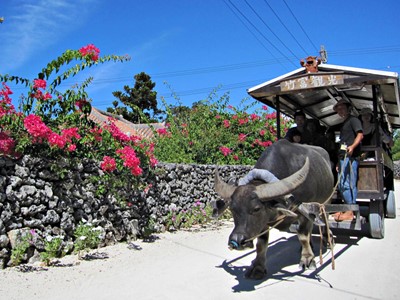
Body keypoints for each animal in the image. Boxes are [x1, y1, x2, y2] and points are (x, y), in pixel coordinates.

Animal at [214, 139, 332, 280]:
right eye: (232, 209)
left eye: (256, 208)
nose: (237, 241)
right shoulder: (263, 223)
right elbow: (261, 244)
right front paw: (258, 268)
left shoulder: (305, 214)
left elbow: (303, 235)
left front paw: (307, 259)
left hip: (327, 201)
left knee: (325, 219)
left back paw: (327, 240)